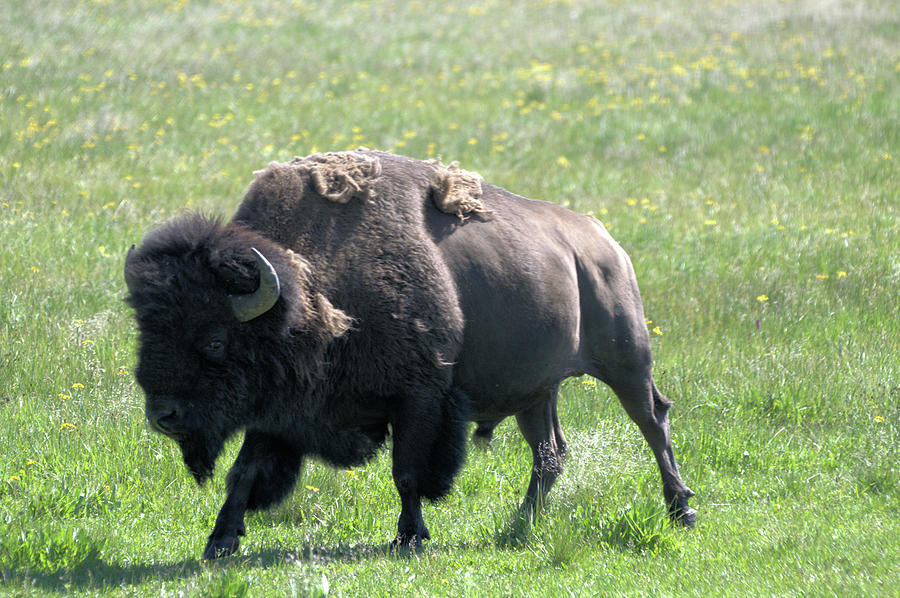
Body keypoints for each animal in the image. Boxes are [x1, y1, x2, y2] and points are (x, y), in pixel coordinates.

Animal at [123, 148, 692, 560]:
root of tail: (602, 242)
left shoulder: (419, 398)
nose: (162, 414)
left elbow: (407, 473)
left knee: (653, 420)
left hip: (627, 362)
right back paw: (518, 525)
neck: (306, 291)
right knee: (549, 453)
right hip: (538, 390)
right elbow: (243, 472)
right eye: (146, 332)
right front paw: (219, 542)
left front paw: (410, 537)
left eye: (215, 340)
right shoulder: (279, 412)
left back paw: (681, 510)